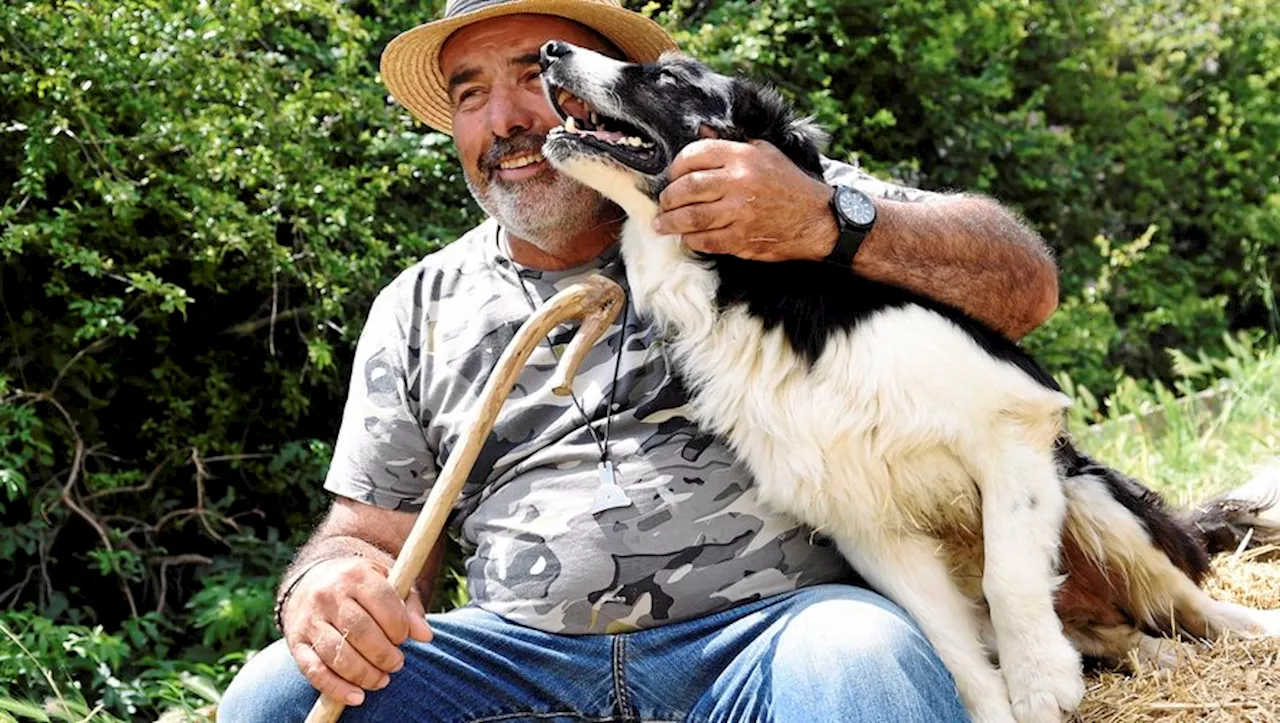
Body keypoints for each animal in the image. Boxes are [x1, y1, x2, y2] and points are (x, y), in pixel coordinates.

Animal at [537, 40, 1280, 721]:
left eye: (668, 76)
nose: (549, 50)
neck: (754, 286)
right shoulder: (865, 518)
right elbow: (953, 650)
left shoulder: (1012, 424)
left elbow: (1009, 577)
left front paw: (1041, 681)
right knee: (1125, 629)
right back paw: (1155, 655)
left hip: (1094, 492)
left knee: (1186, 597)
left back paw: (1248, 628)